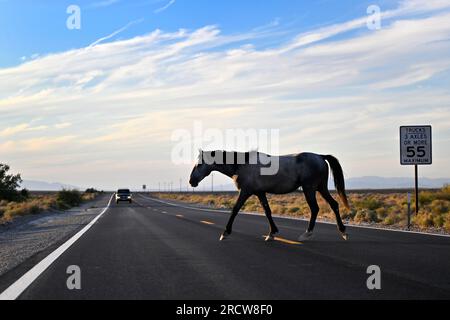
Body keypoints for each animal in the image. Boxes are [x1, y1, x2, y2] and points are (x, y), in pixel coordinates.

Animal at [188, 151, 350, 241]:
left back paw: (307, 234)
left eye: (200, 164)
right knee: (334, 204)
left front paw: (225, 233)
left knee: (315, 209)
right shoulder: (260, 193)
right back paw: (343, 232)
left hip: (309, 189)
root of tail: (320, 157)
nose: (191, 181)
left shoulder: (245, 192)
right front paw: (271, 233)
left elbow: (235, 210)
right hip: (320, 188)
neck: (241, 165)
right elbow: (267, 212)